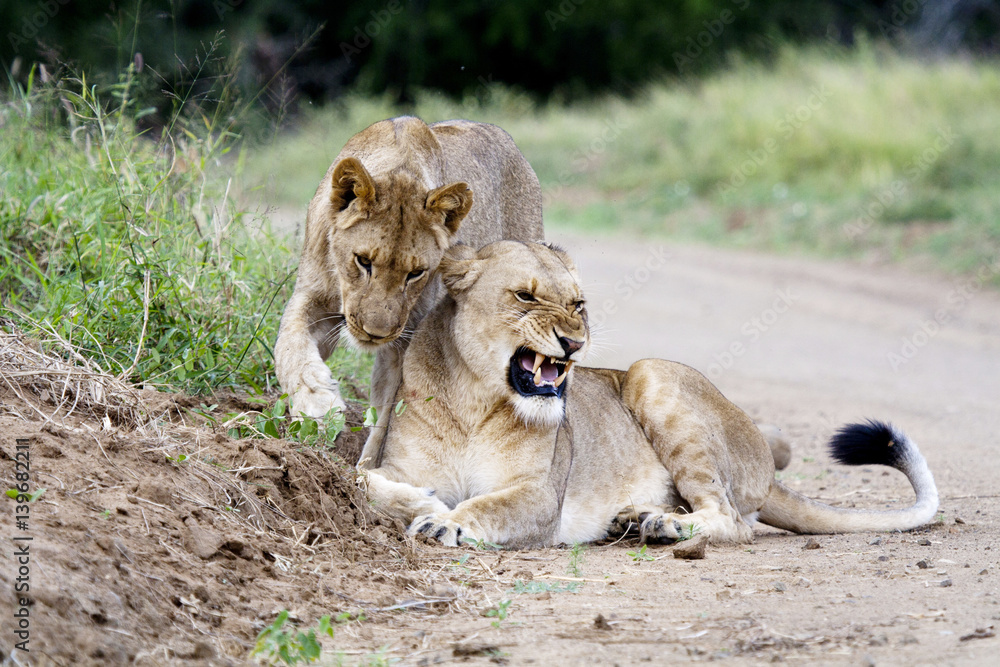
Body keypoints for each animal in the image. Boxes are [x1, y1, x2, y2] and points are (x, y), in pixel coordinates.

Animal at [274, 117, 543, 468]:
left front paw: (368, 473)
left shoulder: (408, 339)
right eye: (363, 261)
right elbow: (288, 344)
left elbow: (391, 419)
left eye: (415, 273)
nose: (375, 334)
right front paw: (315, 405)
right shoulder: (313, 296)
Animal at [361, 241, 939, 548]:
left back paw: (663, 524)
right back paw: (634, 518)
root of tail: (765, 465)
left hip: (650, 373)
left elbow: (485, 506)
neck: (474, 399)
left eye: (578, 304)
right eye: (524, 296)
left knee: (731, 521)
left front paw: (444, 520)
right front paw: (423, 502)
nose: (574, 343)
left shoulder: (539, 495)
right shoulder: (397, 464)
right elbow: (365, 479)